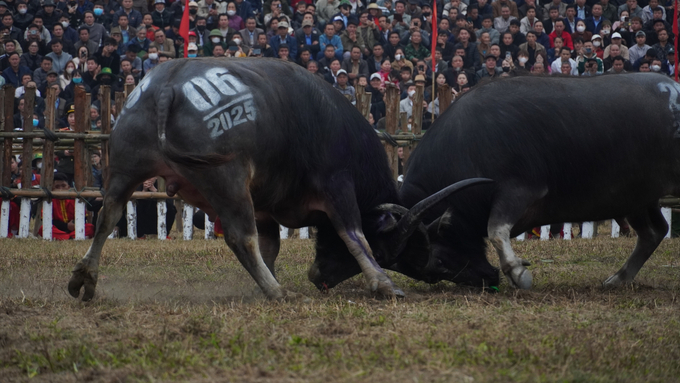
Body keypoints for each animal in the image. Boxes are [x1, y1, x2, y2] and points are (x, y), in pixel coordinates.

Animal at [67, 57, 488, 304]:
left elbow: (271, 246)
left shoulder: (267, 207)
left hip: (125, 167)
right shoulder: (338, 185)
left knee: (107, 216)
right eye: (388, 254)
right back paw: (276, 290)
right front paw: (383, 283)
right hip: (227, 178)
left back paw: (85, 279)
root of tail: (169, 85)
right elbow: (354, 235)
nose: (319, 277)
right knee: (240, 237)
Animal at [398, 72, 680, 290]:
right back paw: (618, 279)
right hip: (636, 197)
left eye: (439, 261)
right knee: (654, 232)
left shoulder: (519, 190)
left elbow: (496, 230)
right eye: (430, 276)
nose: (488, 280)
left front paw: (518, 273)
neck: (466, 146)